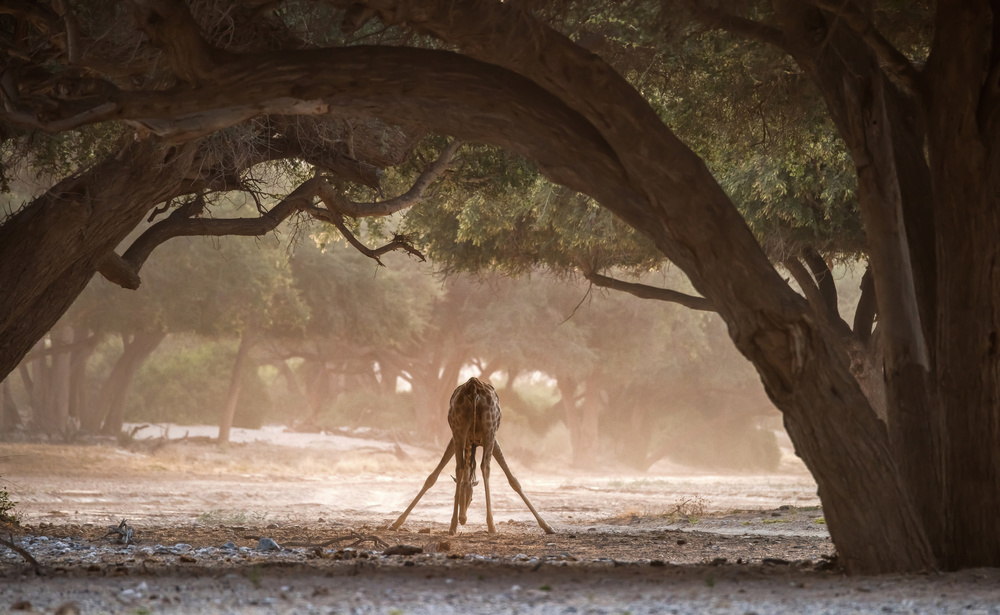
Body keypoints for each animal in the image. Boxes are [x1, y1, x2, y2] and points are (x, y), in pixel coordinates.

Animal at [389, 377, 554, 535]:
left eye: (471, 498)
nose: (463, 519)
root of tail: (473, 387)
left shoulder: (464, 438)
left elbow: (513, 480)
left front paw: (547, 526)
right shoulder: (485, 438)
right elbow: (513, 480)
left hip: (463, 430)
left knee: (463, 467)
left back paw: (455, 526)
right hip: (486, 430)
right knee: (483, 467)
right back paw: (488, 525)